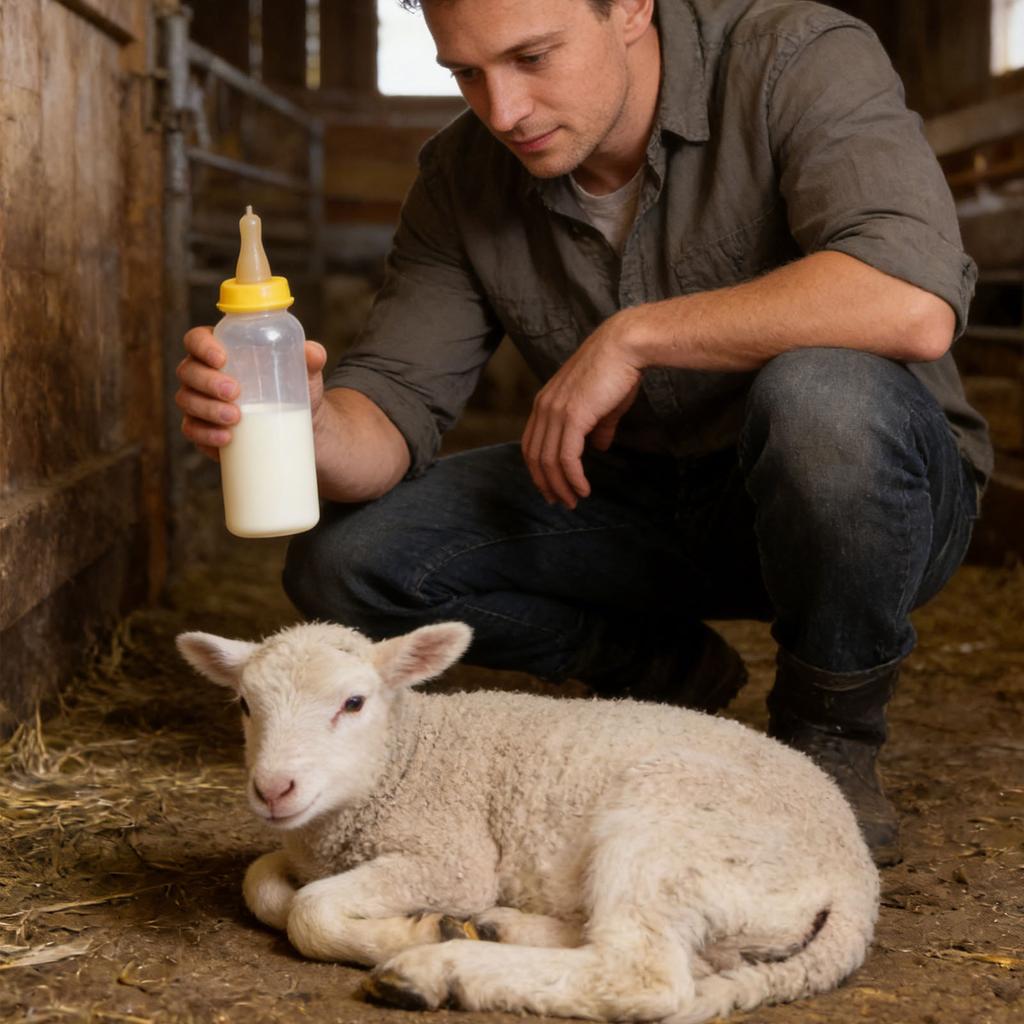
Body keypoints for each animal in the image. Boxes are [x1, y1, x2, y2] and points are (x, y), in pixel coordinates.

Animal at [176, 620, 879, 1023]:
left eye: (353, 703)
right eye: (244, 705)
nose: (273, 789)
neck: (407, 757)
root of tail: (856, 880)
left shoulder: (451, 857)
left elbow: (308, 910)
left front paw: (410, 932)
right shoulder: (303, 847)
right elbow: (262, 885)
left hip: (669, 829)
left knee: (641, 975)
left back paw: (441, 968)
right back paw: (497, 929)